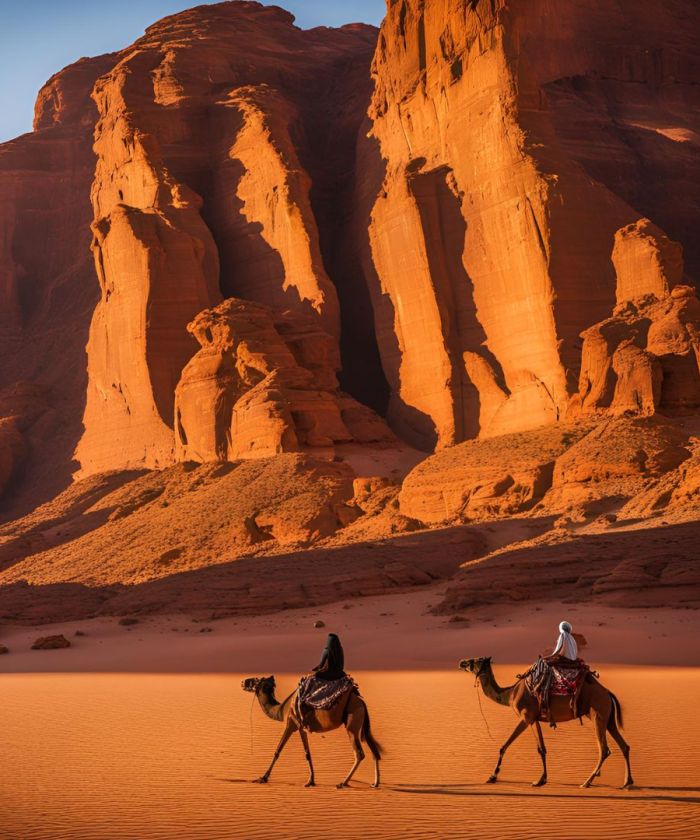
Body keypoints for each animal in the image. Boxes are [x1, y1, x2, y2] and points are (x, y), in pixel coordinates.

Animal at [242, 676, 382, 788]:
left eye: (256, 680)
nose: (243, 682)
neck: (282, 710)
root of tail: (361, 703)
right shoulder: (302, 728)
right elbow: (307, 754)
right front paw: (311, 781)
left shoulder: (292, 724)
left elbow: (279, 751)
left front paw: (263, 778)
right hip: (361, 726)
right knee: (374, 751)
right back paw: (375, 783)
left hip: (352, 726)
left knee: (359, 753)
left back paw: (343, 783)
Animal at [460, 660, 636, 792]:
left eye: (474, 661)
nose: (462, 662)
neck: (510, 693)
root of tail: (608, 693)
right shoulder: (535, 719)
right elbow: (542, 749)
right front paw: (541, 780)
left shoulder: (526, 717)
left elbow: (504, 746)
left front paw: (492, 776)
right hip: (608, 719)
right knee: (624, 746)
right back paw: (627, 782)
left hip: (598, 714)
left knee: (604, 749)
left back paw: (587, 782)